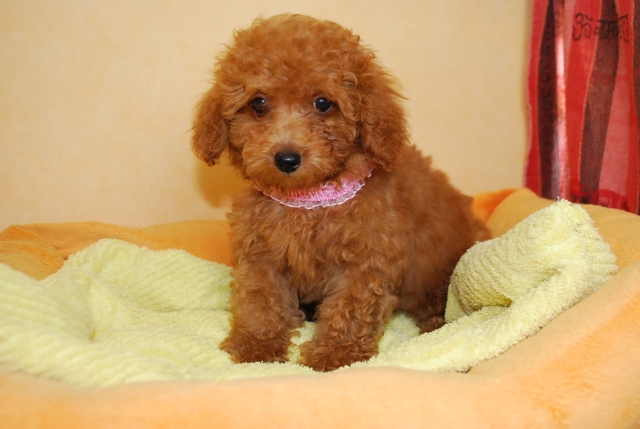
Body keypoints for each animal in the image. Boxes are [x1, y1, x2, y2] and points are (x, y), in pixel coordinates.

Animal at [191, 14, 489, 371]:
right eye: (258, 103)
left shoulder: (365, 261)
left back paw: (435, 325)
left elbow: (350, 307)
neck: (309, 201)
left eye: (323, 104)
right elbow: (260, 299)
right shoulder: (262, 255)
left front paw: (336, 352)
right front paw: (256, 345)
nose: (286, 158)